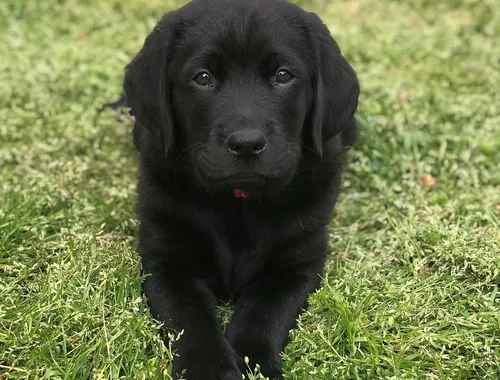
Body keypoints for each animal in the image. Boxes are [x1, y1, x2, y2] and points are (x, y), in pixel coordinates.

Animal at [118, 0, 360, 380]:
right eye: (203, 77)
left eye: (283, 75)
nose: (246, 144)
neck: (238, 203)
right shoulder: (166, 261)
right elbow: (190, 319)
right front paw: (209, 368)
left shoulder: (296, 265)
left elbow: (264, 315)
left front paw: (255, 363)